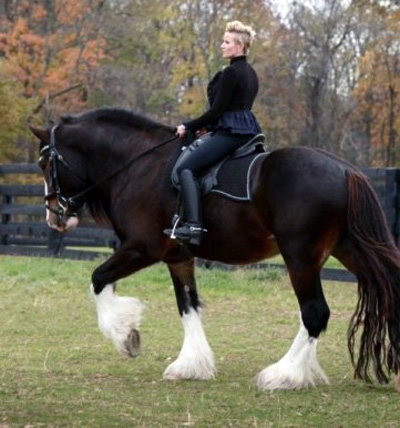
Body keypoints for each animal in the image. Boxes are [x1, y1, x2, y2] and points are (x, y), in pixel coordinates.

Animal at [30, 108, 400, 392]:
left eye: (45, 164)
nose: (54, 216)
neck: (138, 165)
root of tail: (346, 170)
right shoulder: (177, 257)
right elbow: (188, 306)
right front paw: (191, 364)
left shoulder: (141, 249)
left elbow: (98, 279)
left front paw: (127, 336)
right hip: (349, 250)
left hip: (301, 257)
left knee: (314, 312)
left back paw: (284, 375)